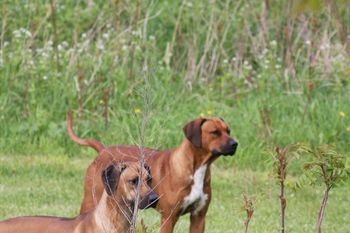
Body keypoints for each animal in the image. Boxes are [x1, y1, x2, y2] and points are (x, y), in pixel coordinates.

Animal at [67, 112, 238, 232]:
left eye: (228, 131)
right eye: (215, 132)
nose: (235, 144)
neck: (197, 169)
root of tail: (103, 150)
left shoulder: (199, 217)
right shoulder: (168, 218)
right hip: (90, 200)